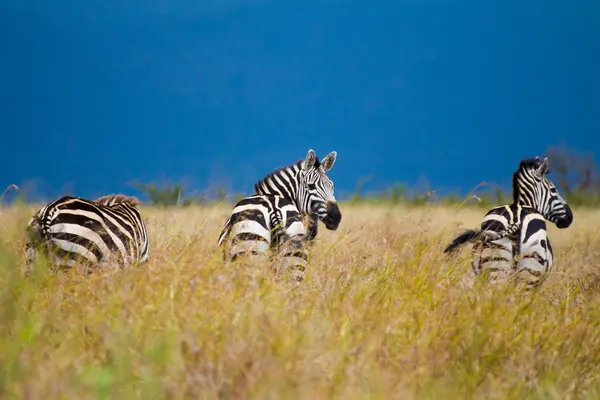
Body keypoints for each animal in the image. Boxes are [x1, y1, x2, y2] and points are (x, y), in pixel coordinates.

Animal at [217, 149, 342, 282]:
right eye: (311, 186)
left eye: (332, 186)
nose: (336, 217)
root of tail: (274, 210)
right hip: (294, 260)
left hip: (250, 254)